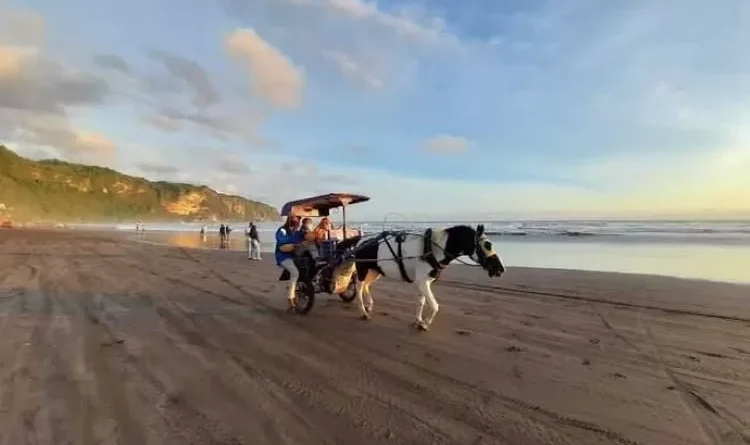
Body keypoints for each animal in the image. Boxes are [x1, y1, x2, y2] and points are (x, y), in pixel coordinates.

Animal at [352, 225, 506, 330]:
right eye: (487, 245)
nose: (501, 269)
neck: (431, 248)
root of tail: (361, 241)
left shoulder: (423, 283)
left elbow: (421, 302)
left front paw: (419, 320)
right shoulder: (423, 283)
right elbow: (435, 306)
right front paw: (425, 324)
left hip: (374, 271)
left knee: (366, 285)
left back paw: (369, 305)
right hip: (362, 270)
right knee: (359, 288)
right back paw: (363, 311)